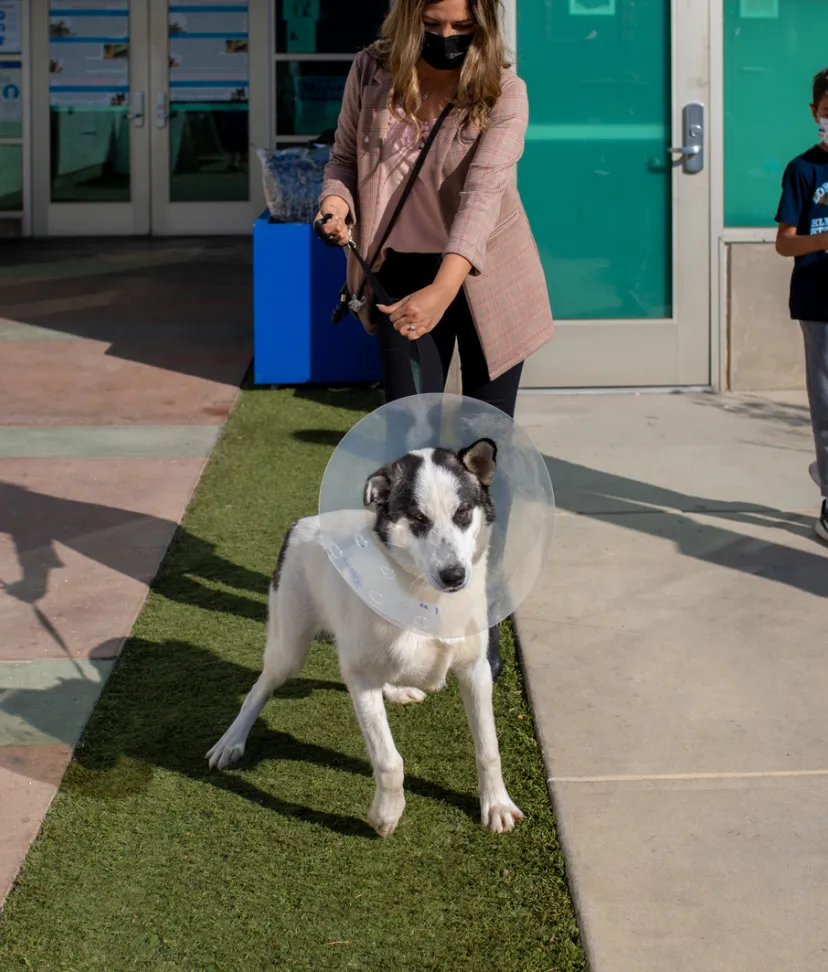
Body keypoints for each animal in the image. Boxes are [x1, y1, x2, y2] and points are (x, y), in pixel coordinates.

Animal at [204, 438, 520, 836]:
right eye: (418, 519)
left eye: (463, 512)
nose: (454, 576)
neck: (425, 597)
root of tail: (302, 523)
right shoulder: (361, 677)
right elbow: (388, 760)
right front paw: (387, 812)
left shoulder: (475, 671)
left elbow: (488, 747)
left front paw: (496, 804)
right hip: (288, 649)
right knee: (259, 689)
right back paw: (231, 740)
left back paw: (396, 690)